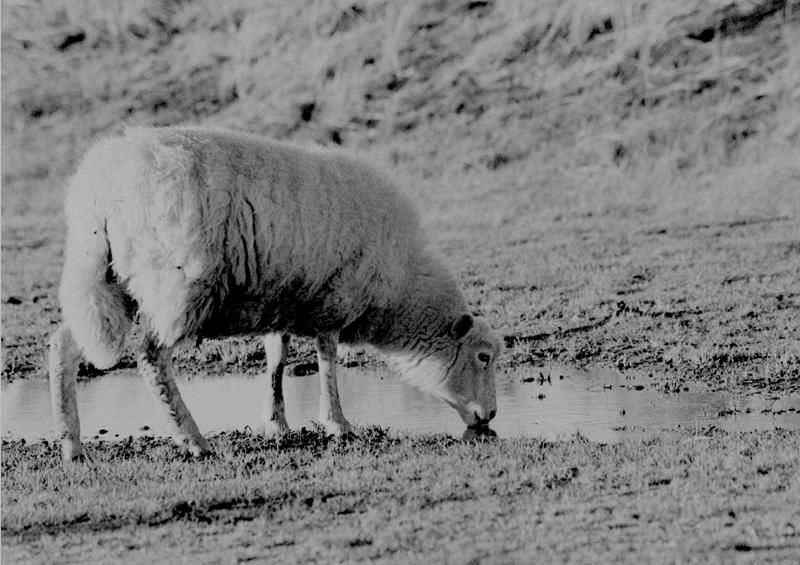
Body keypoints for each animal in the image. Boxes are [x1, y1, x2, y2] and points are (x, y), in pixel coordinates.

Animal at [48, 125, 500, 460]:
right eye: (483, 357)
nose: (492, 414)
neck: (400, 287)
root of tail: (98, 192)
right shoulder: (333, 301)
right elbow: (327, 360)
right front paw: (337, 423)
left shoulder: (282, 299)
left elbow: (276, 359)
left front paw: (277, 423)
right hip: (174, 285)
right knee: (151, 357)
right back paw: (195, 441)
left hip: (104, 281)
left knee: (64, 343)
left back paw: (72, 447)